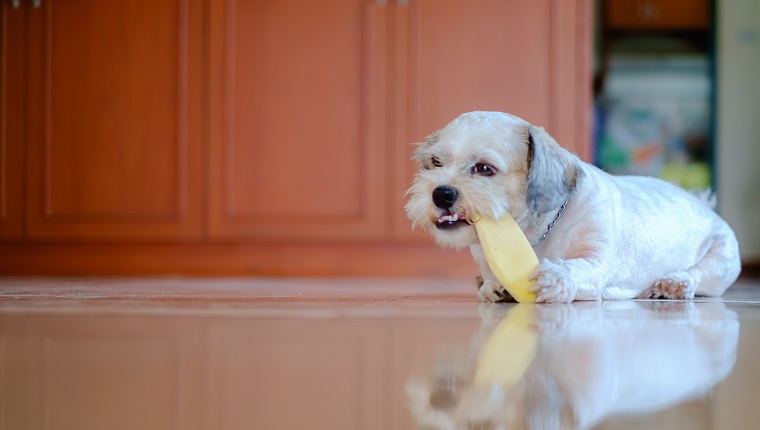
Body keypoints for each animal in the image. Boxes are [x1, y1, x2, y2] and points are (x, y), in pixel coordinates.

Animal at [406, 112, 740, 304]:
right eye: (436, 162)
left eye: (485, 169)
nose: (441, 193)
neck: (535, 232)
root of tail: (703, 203)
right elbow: (489, 276)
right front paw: (491, 285)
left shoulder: (597, 261)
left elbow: (576, 268)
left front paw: (554, 277)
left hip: (721, 259)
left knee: (700, 277)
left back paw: (674, 283)